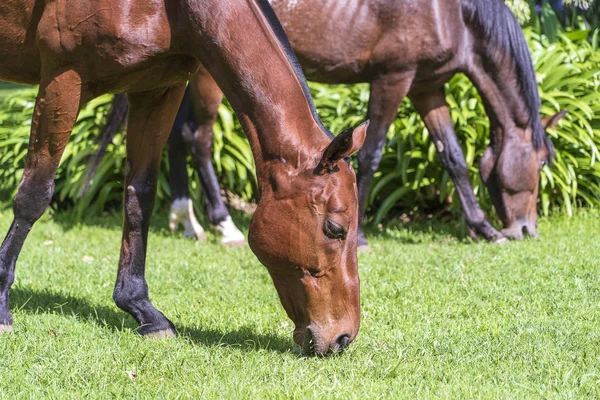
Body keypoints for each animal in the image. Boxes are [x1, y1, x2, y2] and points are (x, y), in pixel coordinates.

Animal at [0, 0, 368, 356]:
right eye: (335, 229)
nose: (342, 338)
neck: (171, 8)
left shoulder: (158, 89)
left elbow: (140, 197)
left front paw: (141, 308)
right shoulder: (63, 80)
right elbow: (34, 194)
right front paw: (2, 305)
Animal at [130, 0, 564, 250]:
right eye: (543, 162)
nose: (527, 228)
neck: (452, 13)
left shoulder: (428, 87)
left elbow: (453, 156)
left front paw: (482, 227)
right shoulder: (393, 79)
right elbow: (371, 154)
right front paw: (362, 237)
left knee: (175, 138)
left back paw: (186, 220)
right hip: (208, 74)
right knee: (198, 138)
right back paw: (223, 225)